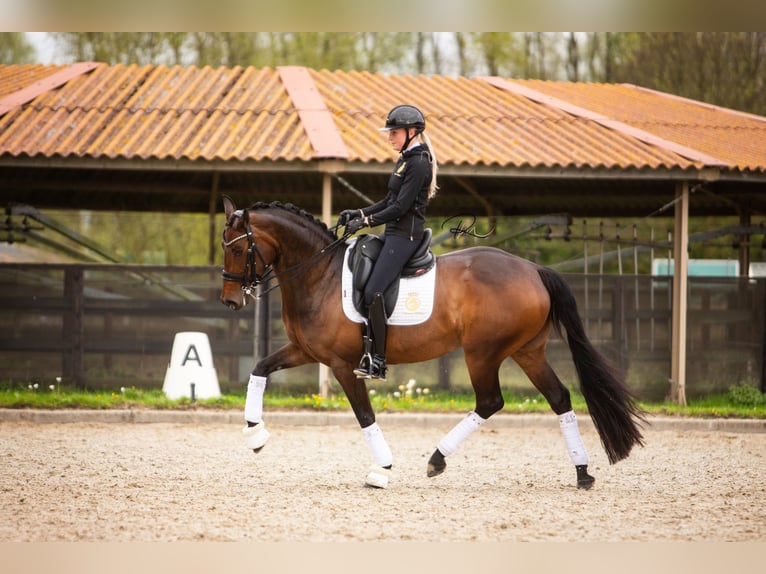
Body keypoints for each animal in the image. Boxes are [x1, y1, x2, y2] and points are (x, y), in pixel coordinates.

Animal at [222, 198, 648, 490]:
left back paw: (437, 459)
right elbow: (259, 369)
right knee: (558, 397)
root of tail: (533, 269)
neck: (320, 275)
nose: (230, 301)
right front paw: (255, 434)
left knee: (490, 401)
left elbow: (365, 415)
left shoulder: (344, 365)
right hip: (526, 351)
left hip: (483, 353)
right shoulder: (307, 351)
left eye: (239, 249)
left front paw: (381, 470)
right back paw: (582, 472)